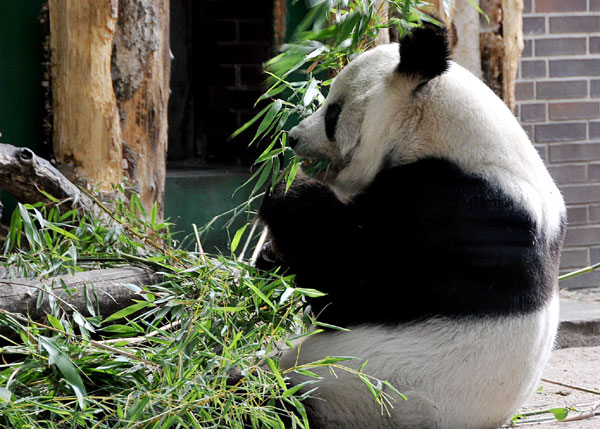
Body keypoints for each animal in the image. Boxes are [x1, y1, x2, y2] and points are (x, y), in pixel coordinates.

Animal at [255, 20, 564, 428]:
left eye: (333, 112)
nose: (293, 138)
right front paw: (268, 258)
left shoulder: (452, 212)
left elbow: (349, 281)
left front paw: (287, 188)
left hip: (359, 397)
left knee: (275, 402)